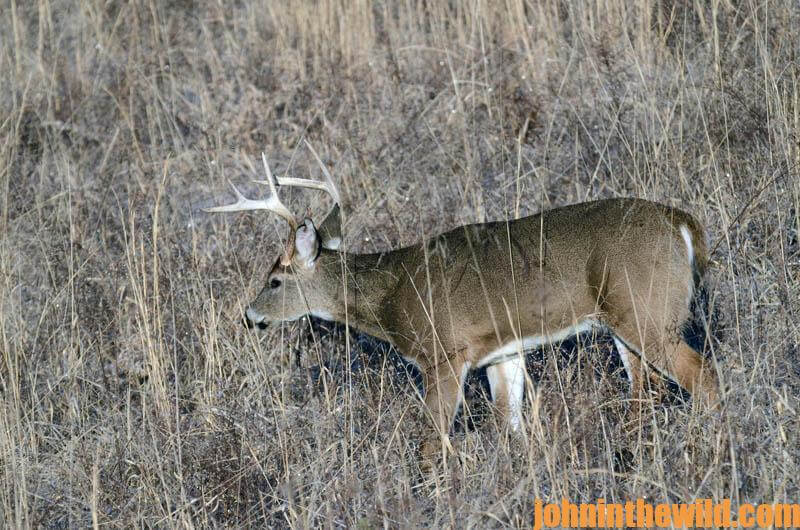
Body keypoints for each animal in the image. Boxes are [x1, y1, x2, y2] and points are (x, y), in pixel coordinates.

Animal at [205, 148, 721, 470]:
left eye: (274, 280)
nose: (250, 317)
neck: (391, 294)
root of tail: (682, 223)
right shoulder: (501, 351)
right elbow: (509, 425)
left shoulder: (444, 353)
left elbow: (430, 440)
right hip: (624, 319)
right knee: (646, 390)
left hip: (646, 311)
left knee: (702, 376)